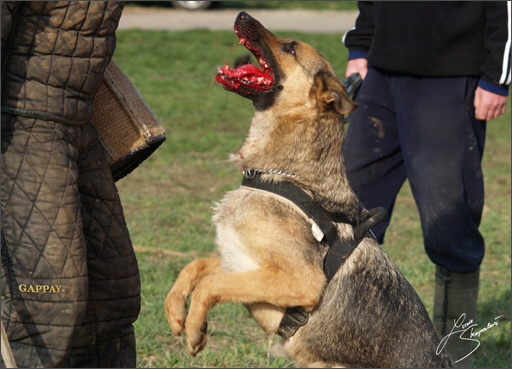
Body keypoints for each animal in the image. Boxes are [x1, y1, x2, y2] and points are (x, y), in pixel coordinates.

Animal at [165, 10, 452, 366]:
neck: (284, 177)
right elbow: (198, 266)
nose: (241, 14)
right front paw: (176, 310)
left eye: (290, 47)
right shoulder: (242, 263)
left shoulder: (300, 279)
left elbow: (210, 283)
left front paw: (194, 330)